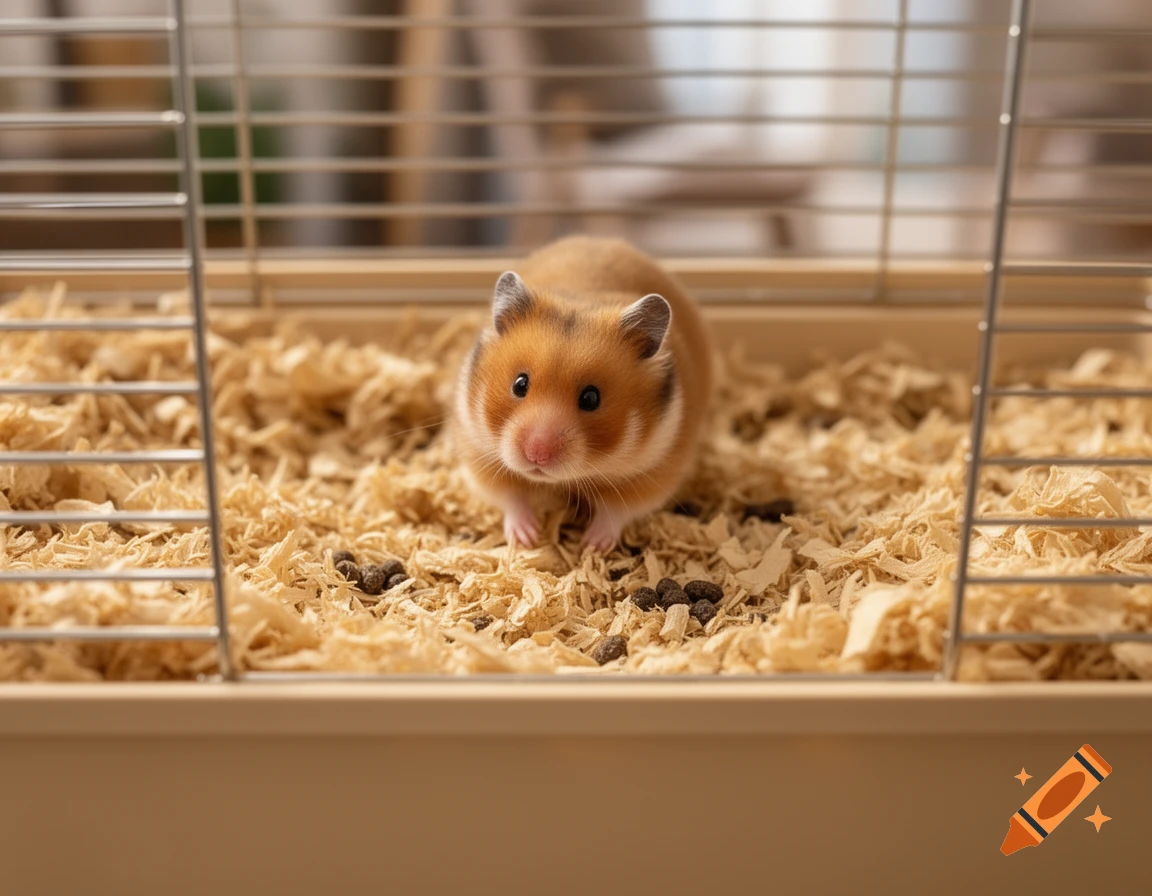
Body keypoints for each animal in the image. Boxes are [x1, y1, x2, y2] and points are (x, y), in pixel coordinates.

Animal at [453, 236, 712, 550]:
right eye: (519, 384)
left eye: (591, 398)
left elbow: (616, 511)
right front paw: (528, 538)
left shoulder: (656, 470)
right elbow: (510, 497)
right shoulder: (477, 450)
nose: (537, 455)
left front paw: (592, 545)